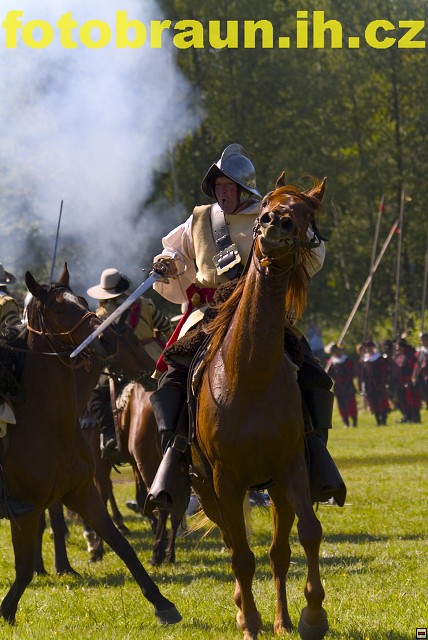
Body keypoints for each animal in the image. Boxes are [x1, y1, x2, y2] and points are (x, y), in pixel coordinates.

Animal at [0, 265, 180, 626]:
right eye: (58, 310)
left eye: (82, 302)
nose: (105, 338)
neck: (43, 421)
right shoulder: (26, 507)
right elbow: (24, 567)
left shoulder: (81, 493)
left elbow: (121, 544)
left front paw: (161, 602)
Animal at [191, 175, 329, 640]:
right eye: (267, 203)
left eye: (305, 213)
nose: (274, 223)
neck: (248, 373)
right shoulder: (225, 482)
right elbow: (240, 555)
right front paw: (249, 621)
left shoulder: (291, 470)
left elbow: (308, 534)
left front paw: (313, 615)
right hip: (207, 490)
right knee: (236, 545)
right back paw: (243, 610)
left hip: (275, 490)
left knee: (277, 551)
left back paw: (283, 620)